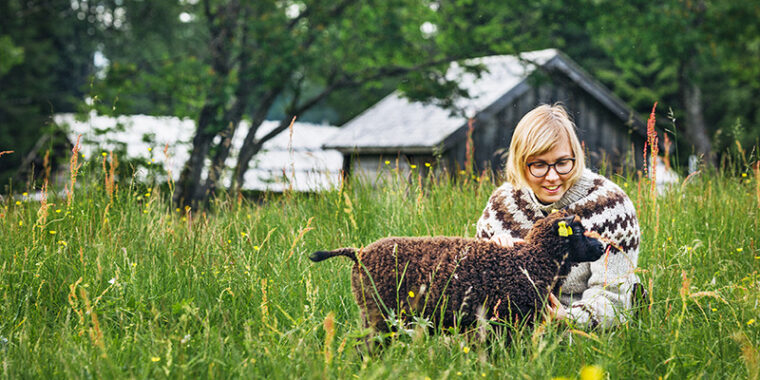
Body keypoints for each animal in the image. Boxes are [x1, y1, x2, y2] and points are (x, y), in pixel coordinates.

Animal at [310, 212, 604, 334]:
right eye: (578, 231)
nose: (602, 246)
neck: (534, 259)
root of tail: (359, 253)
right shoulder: (510, 320)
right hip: (377, 312)